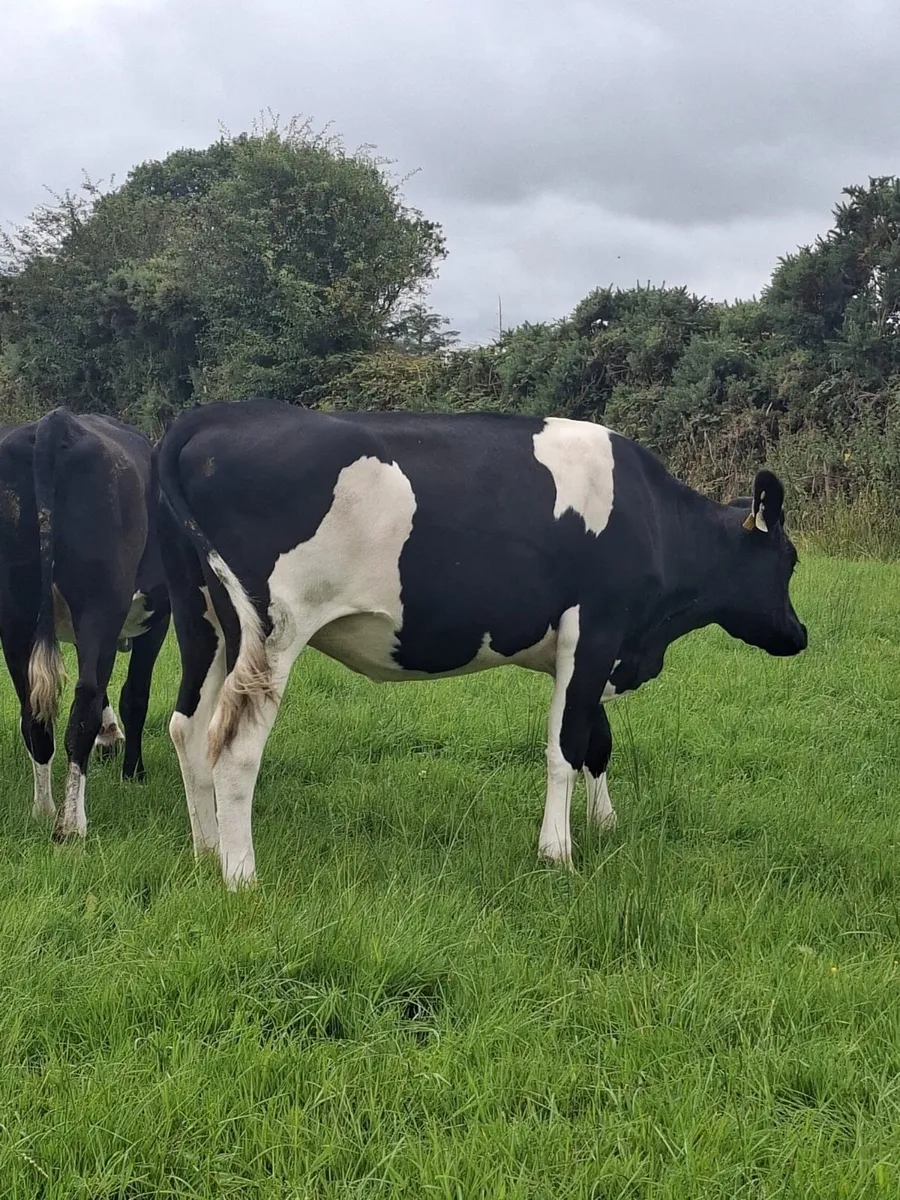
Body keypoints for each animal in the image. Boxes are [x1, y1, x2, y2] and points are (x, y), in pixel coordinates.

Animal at [0, 408, 170, 840]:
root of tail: (56, 422)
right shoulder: (157, 614)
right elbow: (134, 696)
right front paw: (133, 773)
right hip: (100, 603)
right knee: (84, 703)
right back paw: (70, 824)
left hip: (16, 612)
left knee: (34, 713)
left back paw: (43, 810)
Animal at [156, 397, 807, 890]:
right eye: (791, 559)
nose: (799, 635)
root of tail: (212, 417)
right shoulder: (597, 629)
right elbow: (565, 746)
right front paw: (558, 853)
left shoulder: (587, 650)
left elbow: (596, 741)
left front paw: (605, 825)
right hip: (271, 631)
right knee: (234, 746)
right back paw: (242, 876)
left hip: (203, 623)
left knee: (188, 727)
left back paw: (207, 853)